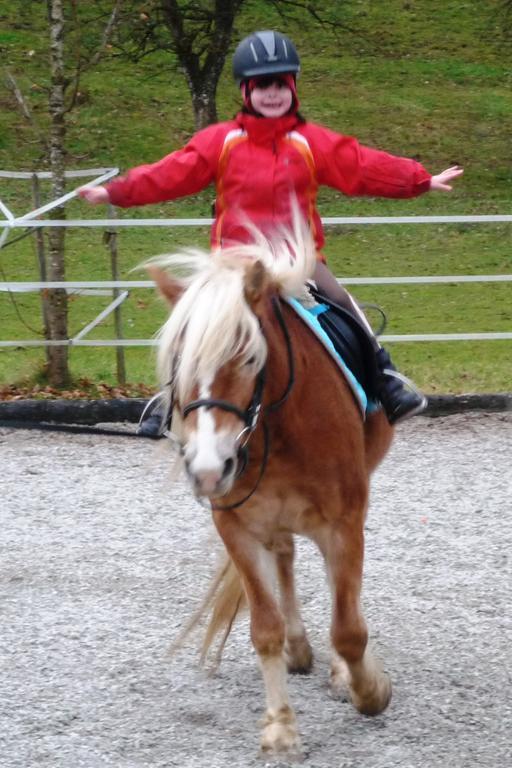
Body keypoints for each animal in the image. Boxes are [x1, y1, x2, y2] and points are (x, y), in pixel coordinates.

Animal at [147, 219, 392, 760]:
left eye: (246, 357)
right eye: (178, 364)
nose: (209, 468)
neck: (275, 430)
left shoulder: (344, 522)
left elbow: (348, 626)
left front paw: (369, 690)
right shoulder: (236, 527)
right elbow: (265, 629)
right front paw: (280, 726)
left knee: (337, 588)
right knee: (285, 559)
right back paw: (300, 648)